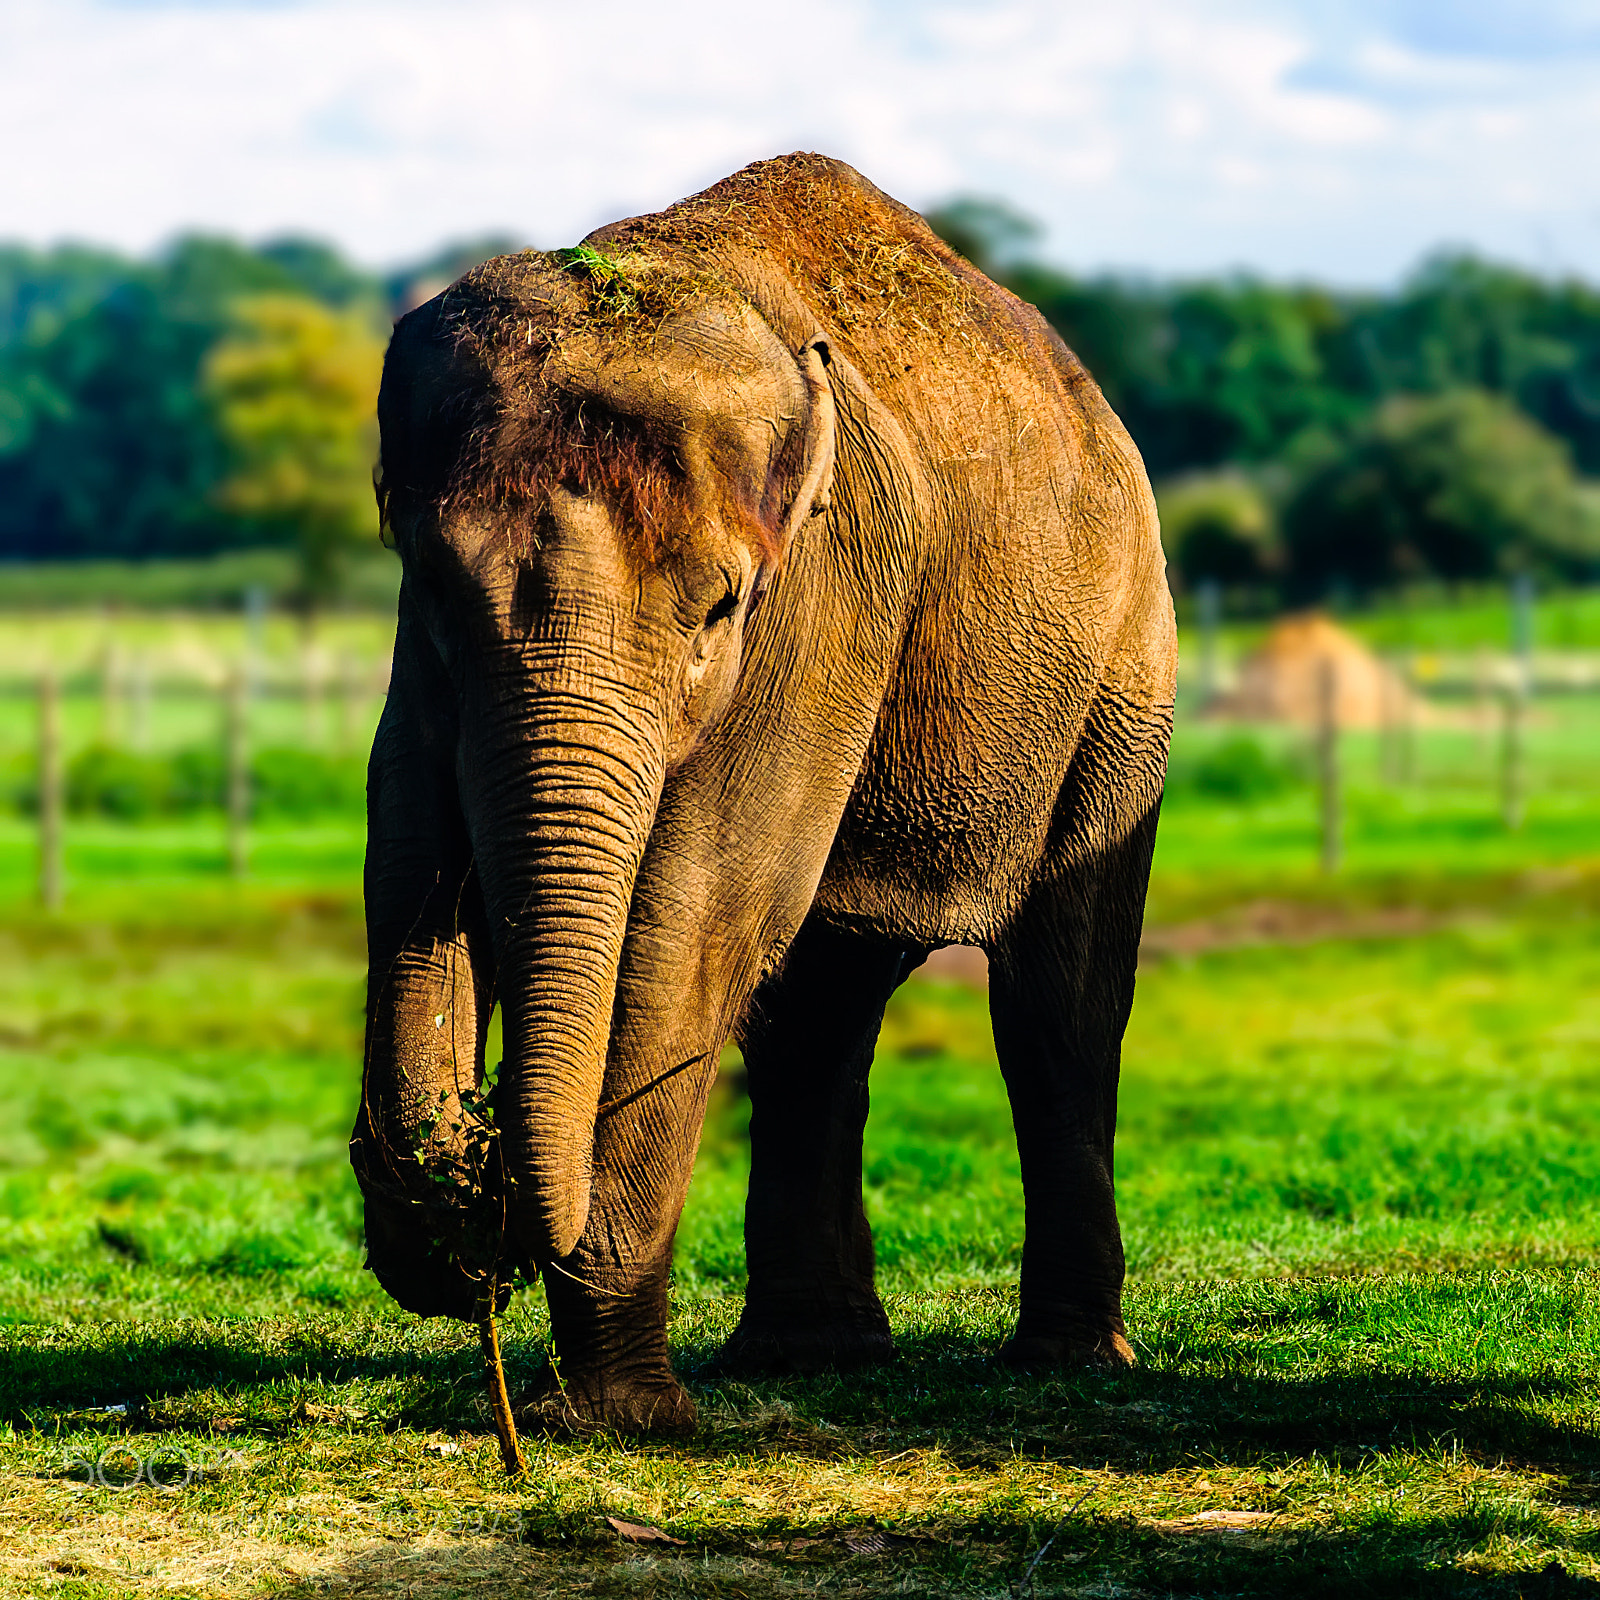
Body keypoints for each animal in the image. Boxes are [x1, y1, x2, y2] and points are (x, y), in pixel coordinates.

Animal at [350, 152, 1176, 1437]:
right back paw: (809, 1353)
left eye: (719, 609)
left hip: (1120, 673)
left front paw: (624, 1421)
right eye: (433, 583)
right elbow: (405, 848)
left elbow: (694, 914)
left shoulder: (826, 602)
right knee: (818, 1006)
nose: (478, 1194)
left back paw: (1068, 1361)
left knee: (1056, 1001)